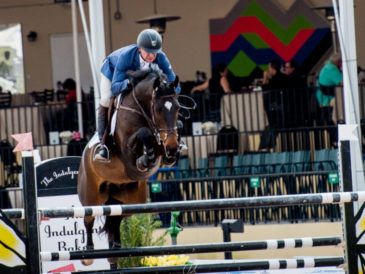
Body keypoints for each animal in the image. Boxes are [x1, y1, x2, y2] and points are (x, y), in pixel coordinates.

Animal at [77, 68, 180, 268]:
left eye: (178, 108)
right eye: (159, 109)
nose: (172, 148)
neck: (141, 109)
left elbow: (155, 144)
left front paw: (165, 154)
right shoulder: (127, 149)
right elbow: (144, 134)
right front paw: (145, 159)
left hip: (131, 201)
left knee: (116, 218)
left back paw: (115, 249)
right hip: (92, 195)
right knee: (88, 217)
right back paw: (89, 254)